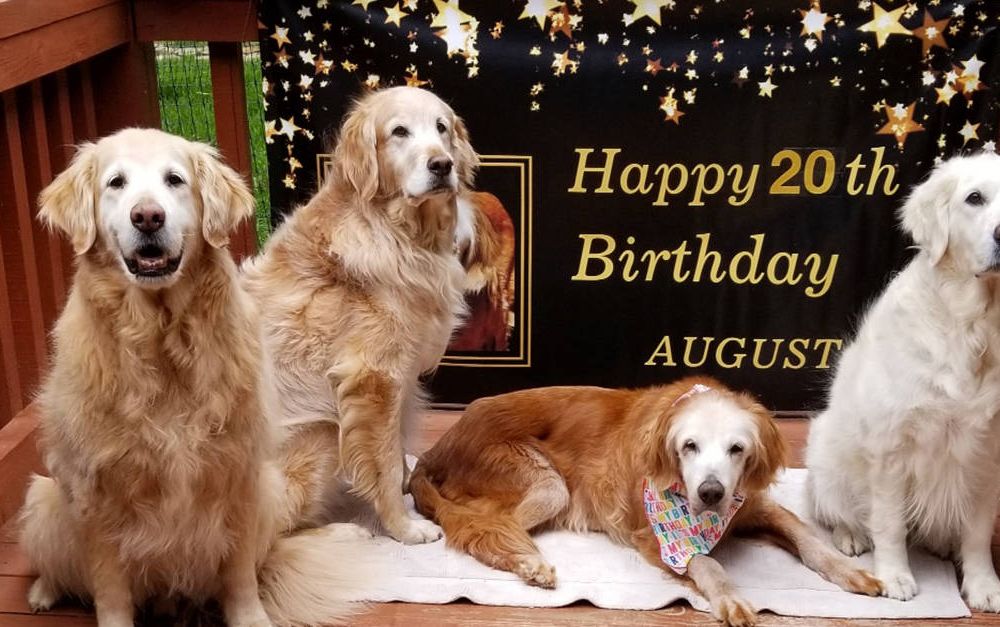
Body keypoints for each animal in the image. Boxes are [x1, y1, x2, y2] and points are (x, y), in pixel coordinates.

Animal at [22, 129, 382, 627]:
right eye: (116, 182)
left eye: (174, 179)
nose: (147, 217)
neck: (162, 340)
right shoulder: (94, 491)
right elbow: (109, 589)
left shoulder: (239, 475)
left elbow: (241, 575)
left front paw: (251, 618)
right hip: (43, 501)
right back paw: (43, 590)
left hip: (270, 486)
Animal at [242, 87, 476, 544]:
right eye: (399, 131)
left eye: (441, 127)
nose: (442, 165)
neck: (397, 231)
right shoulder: (373, 377)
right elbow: (382, 462)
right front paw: (404, 526)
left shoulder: (402, 374)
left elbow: (396, 447)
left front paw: (410, 485)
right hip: (319, 433)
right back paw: (343, 533)